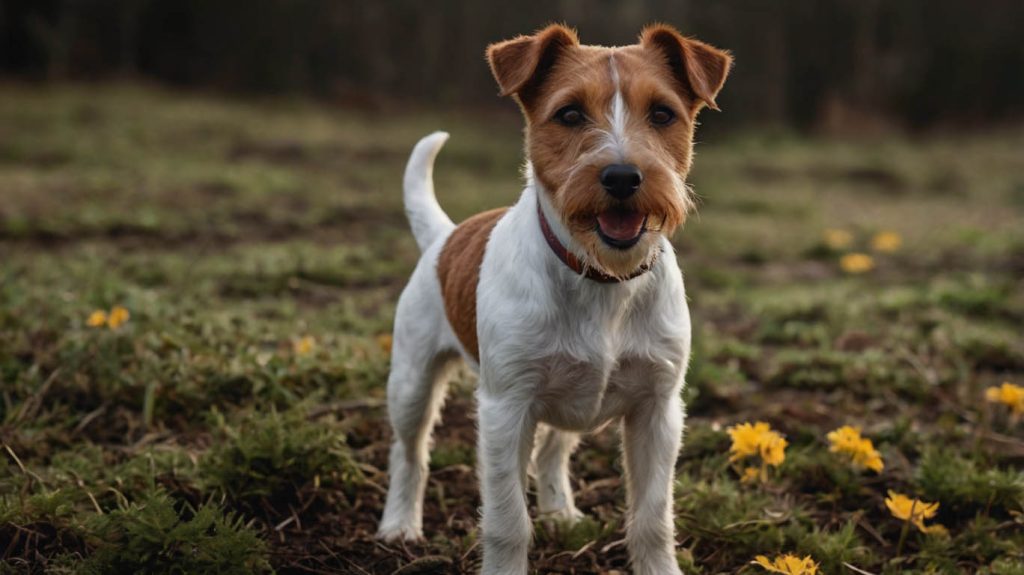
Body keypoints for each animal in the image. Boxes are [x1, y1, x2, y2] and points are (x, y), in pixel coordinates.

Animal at [380, 23, 733, 572]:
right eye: (569, 114)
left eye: (662, 113)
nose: (622, 176)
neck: (603, 279)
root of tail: (444, 235)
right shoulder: (506, 409)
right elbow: (507, 521)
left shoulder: (658, 410)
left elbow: (653, 518)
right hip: (412, 381)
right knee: (409, 451)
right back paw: (399, 524)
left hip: (575, 397)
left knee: (552, 449)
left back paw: (559, 511)